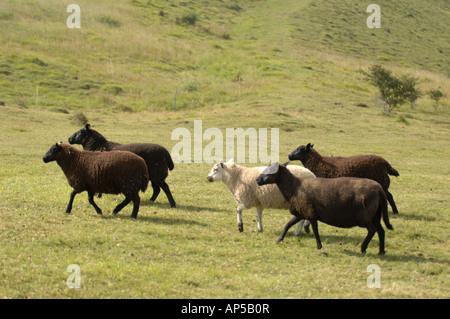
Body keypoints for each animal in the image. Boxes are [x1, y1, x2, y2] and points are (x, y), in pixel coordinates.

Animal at [256, 162, 394, 255]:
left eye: (271, 170)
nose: (257, 180)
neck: (294, 187)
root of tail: (379, 189)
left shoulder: (310, 213)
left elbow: (315, 230)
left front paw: (319, 246)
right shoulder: (301, 213)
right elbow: (287, 225)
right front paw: (278, 240)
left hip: (365, 217)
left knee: (372, 230)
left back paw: (363, 248)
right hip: (375, 215)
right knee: (381, 231)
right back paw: (381, 251)